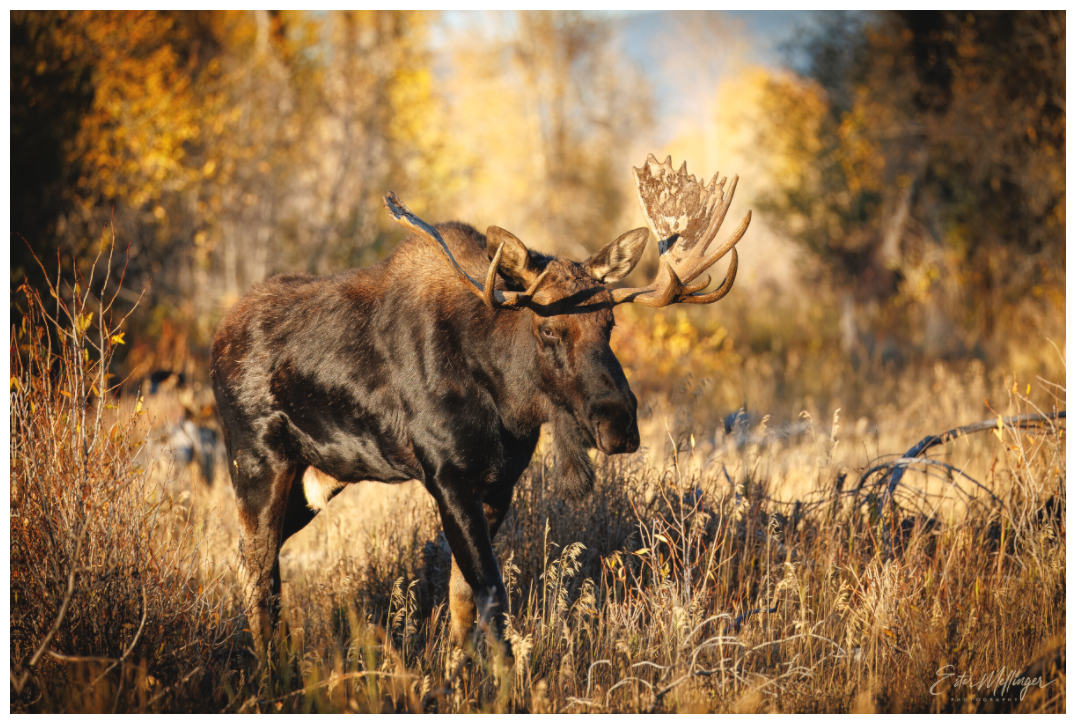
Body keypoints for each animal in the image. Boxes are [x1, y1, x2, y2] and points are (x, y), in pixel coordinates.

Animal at [210, 154, 751, 674]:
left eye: (610, 322)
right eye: (548, 329)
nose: (619, 424)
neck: (507, 401)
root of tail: (217, 338)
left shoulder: (498, 483)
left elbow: (463, 599)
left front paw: (459, 675)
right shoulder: (448, 478)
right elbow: (492, 595)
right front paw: (509, 682)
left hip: (315, 480)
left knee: (251, 559)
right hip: (258, 464)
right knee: (260, 569)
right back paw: (271, 674)